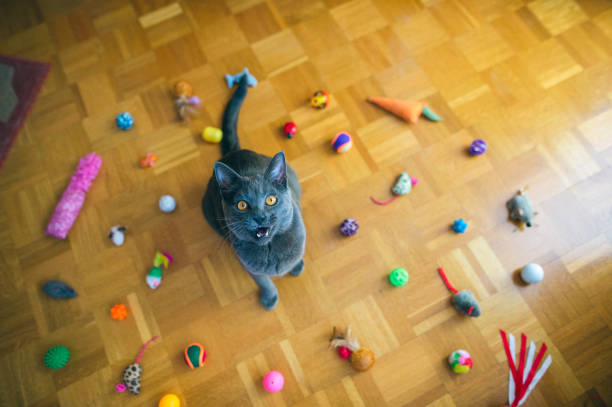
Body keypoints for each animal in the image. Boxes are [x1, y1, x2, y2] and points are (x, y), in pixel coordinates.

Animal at [202, 75, 304, 310]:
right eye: (242, 204)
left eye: (271, 200)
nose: (259, 217)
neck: (270, 248)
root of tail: (233, 152)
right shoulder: (249, 265)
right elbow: (263, 280)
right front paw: (270, 297)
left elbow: (296, 257)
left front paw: (296, 266)